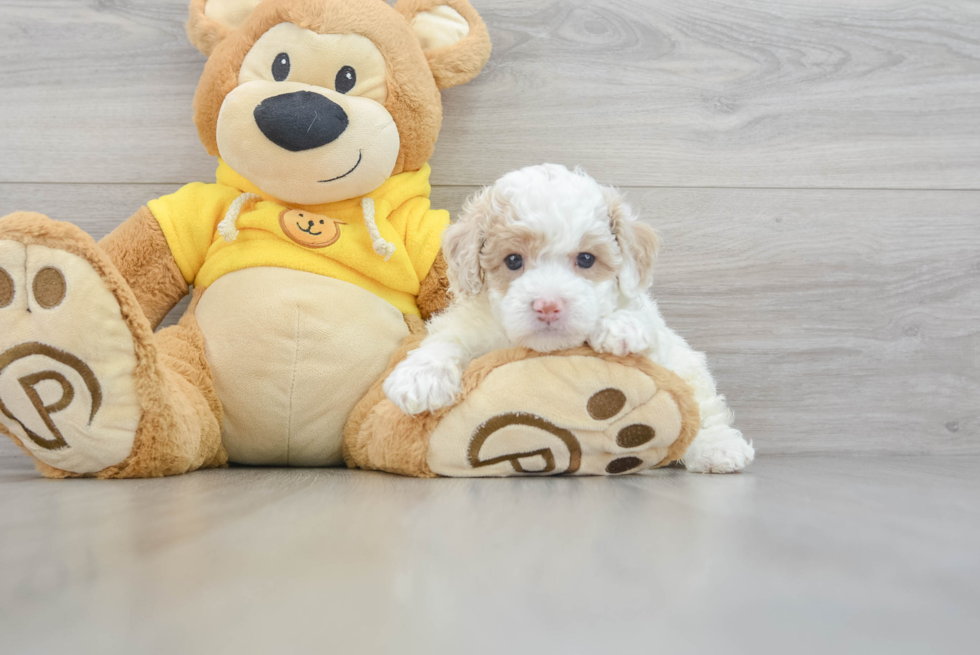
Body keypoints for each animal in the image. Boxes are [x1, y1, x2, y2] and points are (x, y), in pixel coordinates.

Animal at [386, 163, 756, 472]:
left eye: (587, 259)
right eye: (513, 260)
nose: (548, 305)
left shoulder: (658, 340)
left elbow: (641, 327)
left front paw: (619, 325)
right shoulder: (473, 324)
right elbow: (447, 338)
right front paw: (421, 376)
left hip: (689, 367)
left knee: (702, 406)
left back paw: (718, 448)